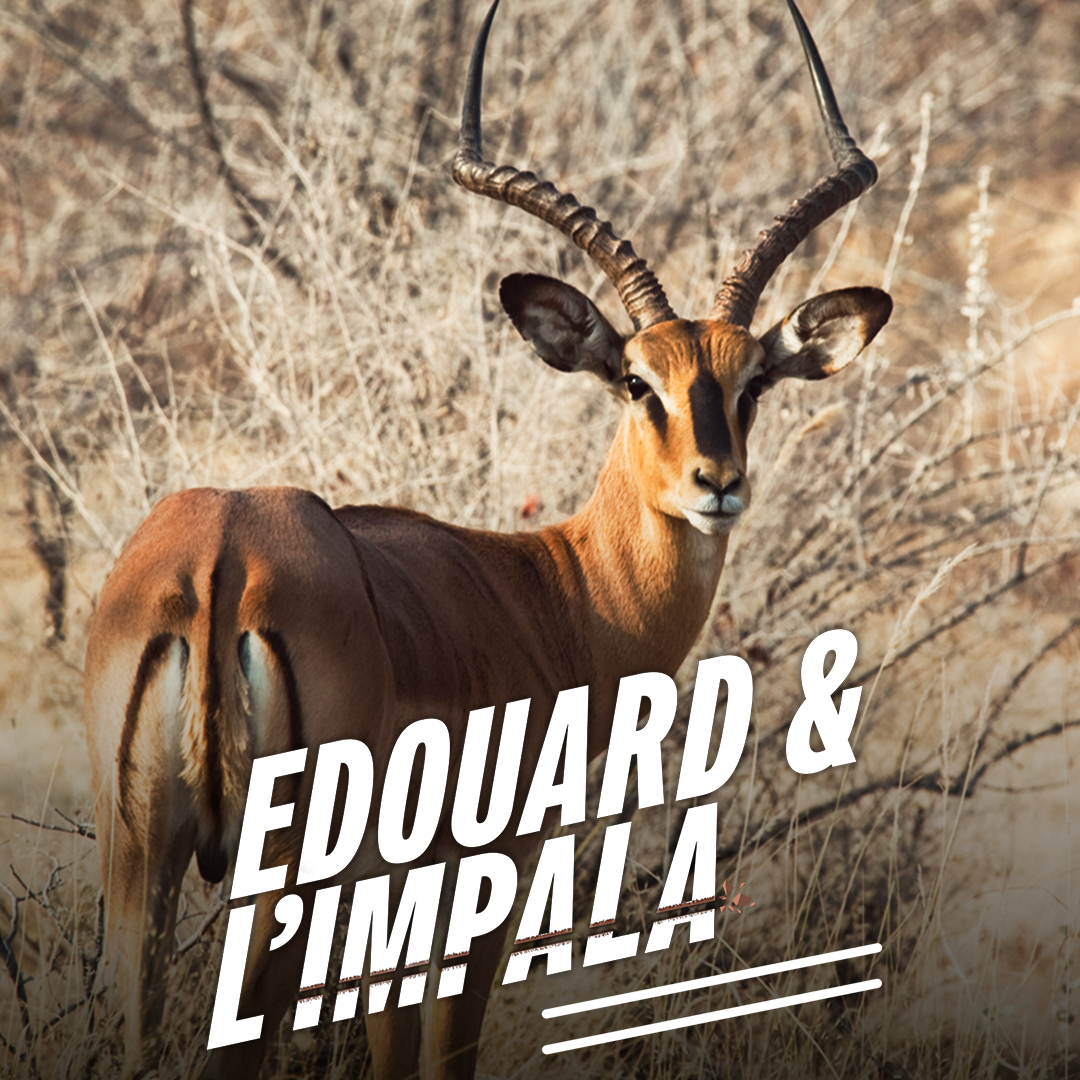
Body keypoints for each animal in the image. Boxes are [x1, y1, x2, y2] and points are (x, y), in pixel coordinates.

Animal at [83, 0, 891, 1077]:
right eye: (637, 381)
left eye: (753, 380)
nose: (717, 485)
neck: (555, 592)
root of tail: (220, 556)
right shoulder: (479, 871)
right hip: (277, 879)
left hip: (140, 863)